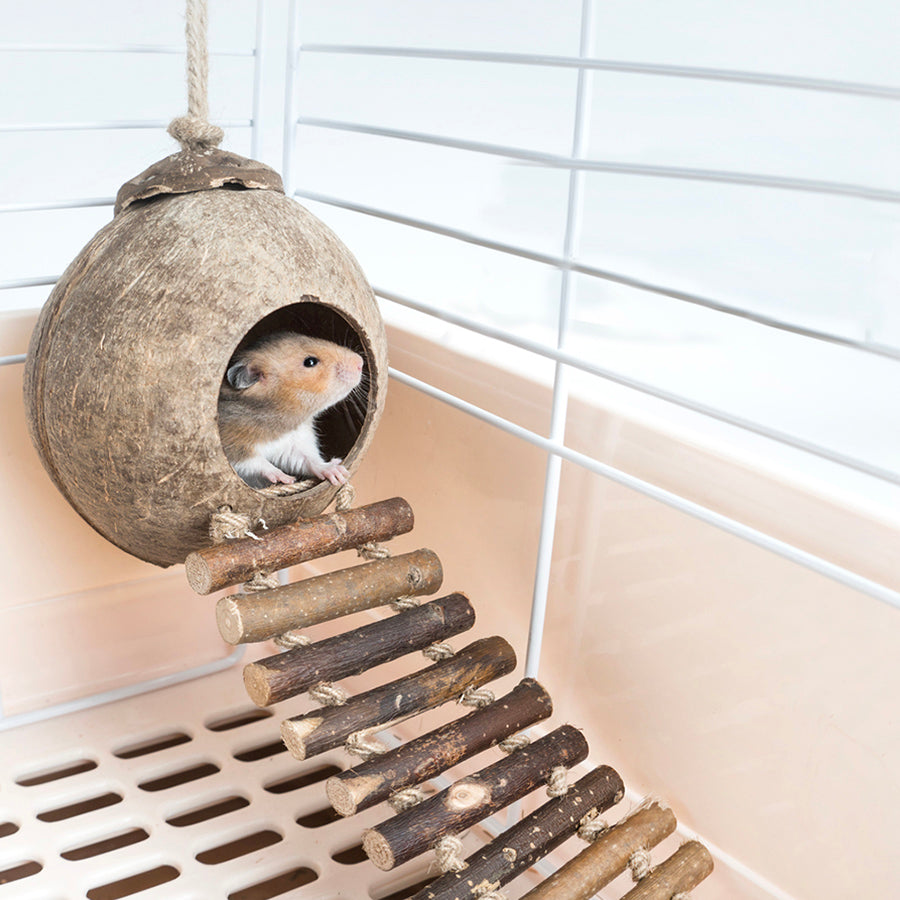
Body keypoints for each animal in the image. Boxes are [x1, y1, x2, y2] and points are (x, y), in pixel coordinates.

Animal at [218, 332, 364, 489]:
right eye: (310, 362)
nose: (360, 362)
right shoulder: (231, 444)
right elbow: (254, 462)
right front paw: (286, 478)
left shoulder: (294, 443)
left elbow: (309, 460)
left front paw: (337, 471)